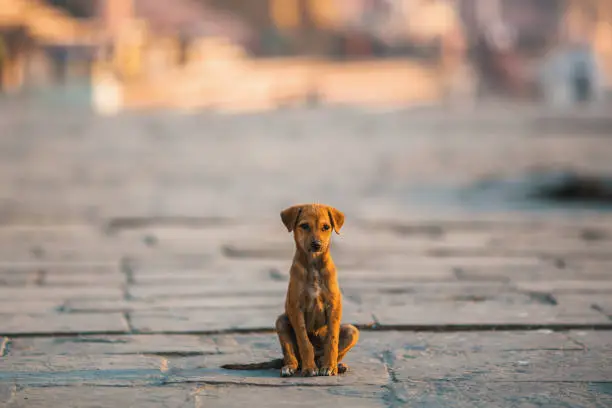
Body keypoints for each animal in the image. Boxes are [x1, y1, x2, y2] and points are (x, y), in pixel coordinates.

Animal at [222, 202, 358, 378]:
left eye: (326, 227)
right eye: (304, 226)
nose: (317, 245)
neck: (313, 265)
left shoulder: (334, 305)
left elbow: (332, 340)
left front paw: (329, 366)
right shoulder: (295, 307)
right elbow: (304, 341)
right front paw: (309, 368)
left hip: (352, 330)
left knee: (329, 351)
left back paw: (334, 364)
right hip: (281, 322)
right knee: (291, 356)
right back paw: (291, 367)